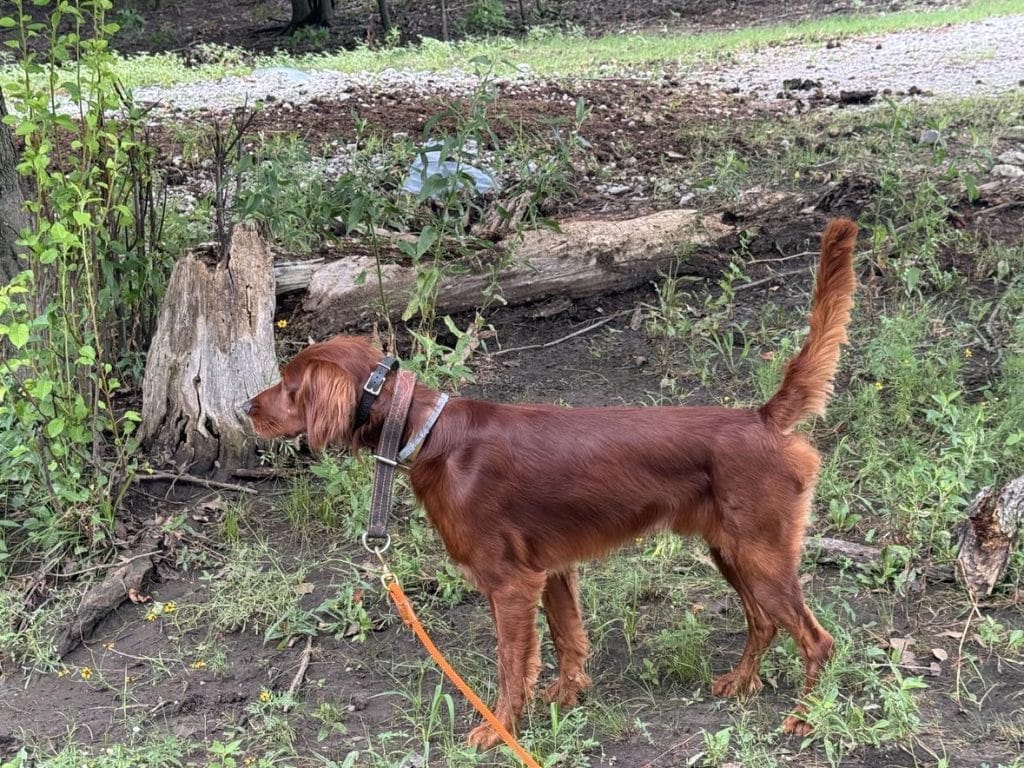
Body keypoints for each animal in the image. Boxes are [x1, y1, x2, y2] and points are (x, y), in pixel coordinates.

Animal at [245, 219, 856, 749]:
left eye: (289, 386)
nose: (245, 407)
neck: (431, 432)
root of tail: (763, 417)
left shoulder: (511, 582)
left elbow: (512, 664)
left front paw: (499, 730)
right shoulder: (552, 569)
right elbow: (567, 637)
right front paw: (566, 695)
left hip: (760, 553)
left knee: (818, 640)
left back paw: (805, 717)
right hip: (732, 550)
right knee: (764, 622)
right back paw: (741, 683)